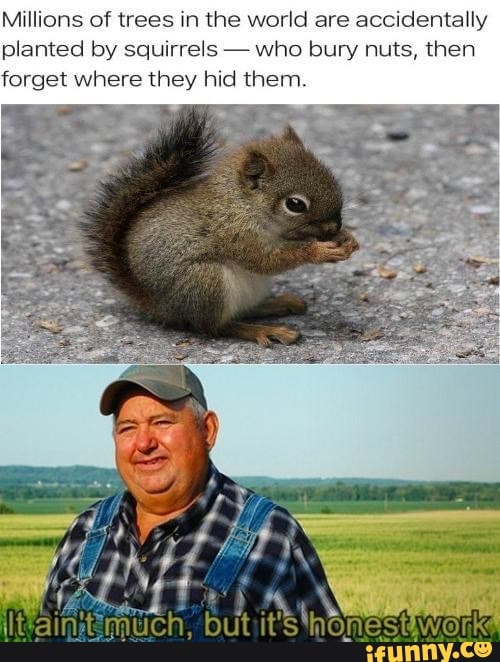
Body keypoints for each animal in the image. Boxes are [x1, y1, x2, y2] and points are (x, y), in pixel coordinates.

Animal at [81, 106, 359, 346]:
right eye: (295, 204)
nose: (334, 226)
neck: (241, 203)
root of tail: (160, 306)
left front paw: (347, 238)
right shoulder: (234, 233)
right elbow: (265, 260)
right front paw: (319, 251)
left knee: (244, 310)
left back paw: (277, 304)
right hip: (205, 282)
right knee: (216, 326)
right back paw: (263, 330)